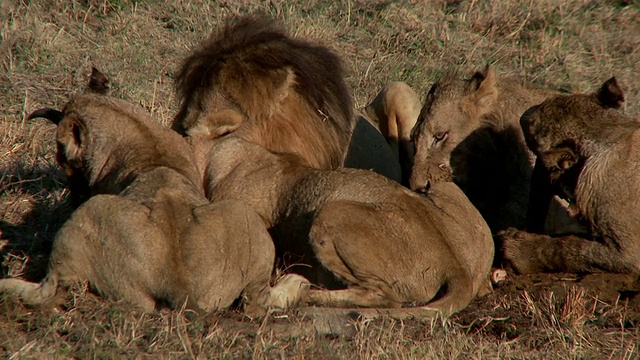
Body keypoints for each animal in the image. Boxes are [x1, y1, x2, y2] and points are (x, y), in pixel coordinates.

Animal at [0, 93, 308, 316]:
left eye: (61, 154)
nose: (71, 193)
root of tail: (178, 286)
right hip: (247, 222)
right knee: (260, 301)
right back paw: (299, 283)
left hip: (83, 220)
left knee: (47, 292)